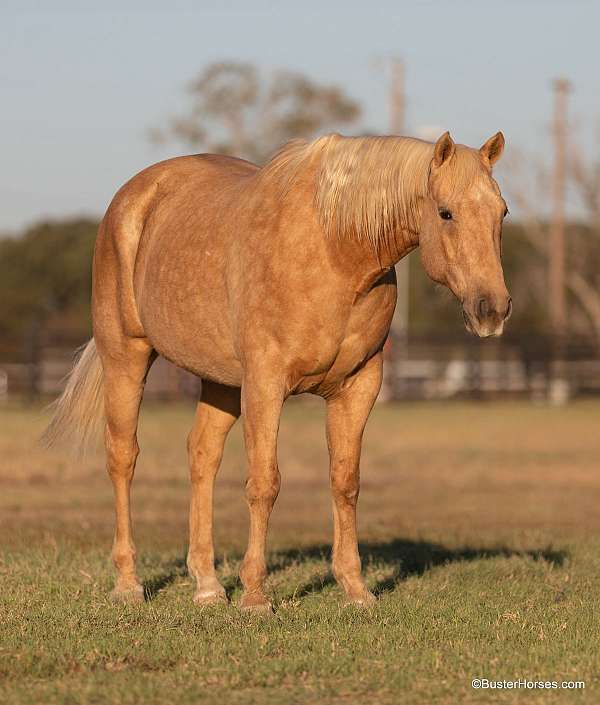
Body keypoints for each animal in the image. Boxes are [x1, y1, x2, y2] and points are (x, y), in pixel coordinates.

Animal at [44, 131, 508, 612]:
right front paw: (254, 596)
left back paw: (208, 586)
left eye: (502, 211)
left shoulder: (358, 387)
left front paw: (355, 588)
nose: (491, 310)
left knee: (202, 455)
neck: (335, 253)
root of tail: (132, 196)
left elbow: (345, 482)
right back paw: (129, 584)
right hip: (126, 356)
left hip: (220, 381)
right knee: (122, 457)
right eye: (446, 212)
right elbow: (265, 483)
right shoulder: (265, 384)